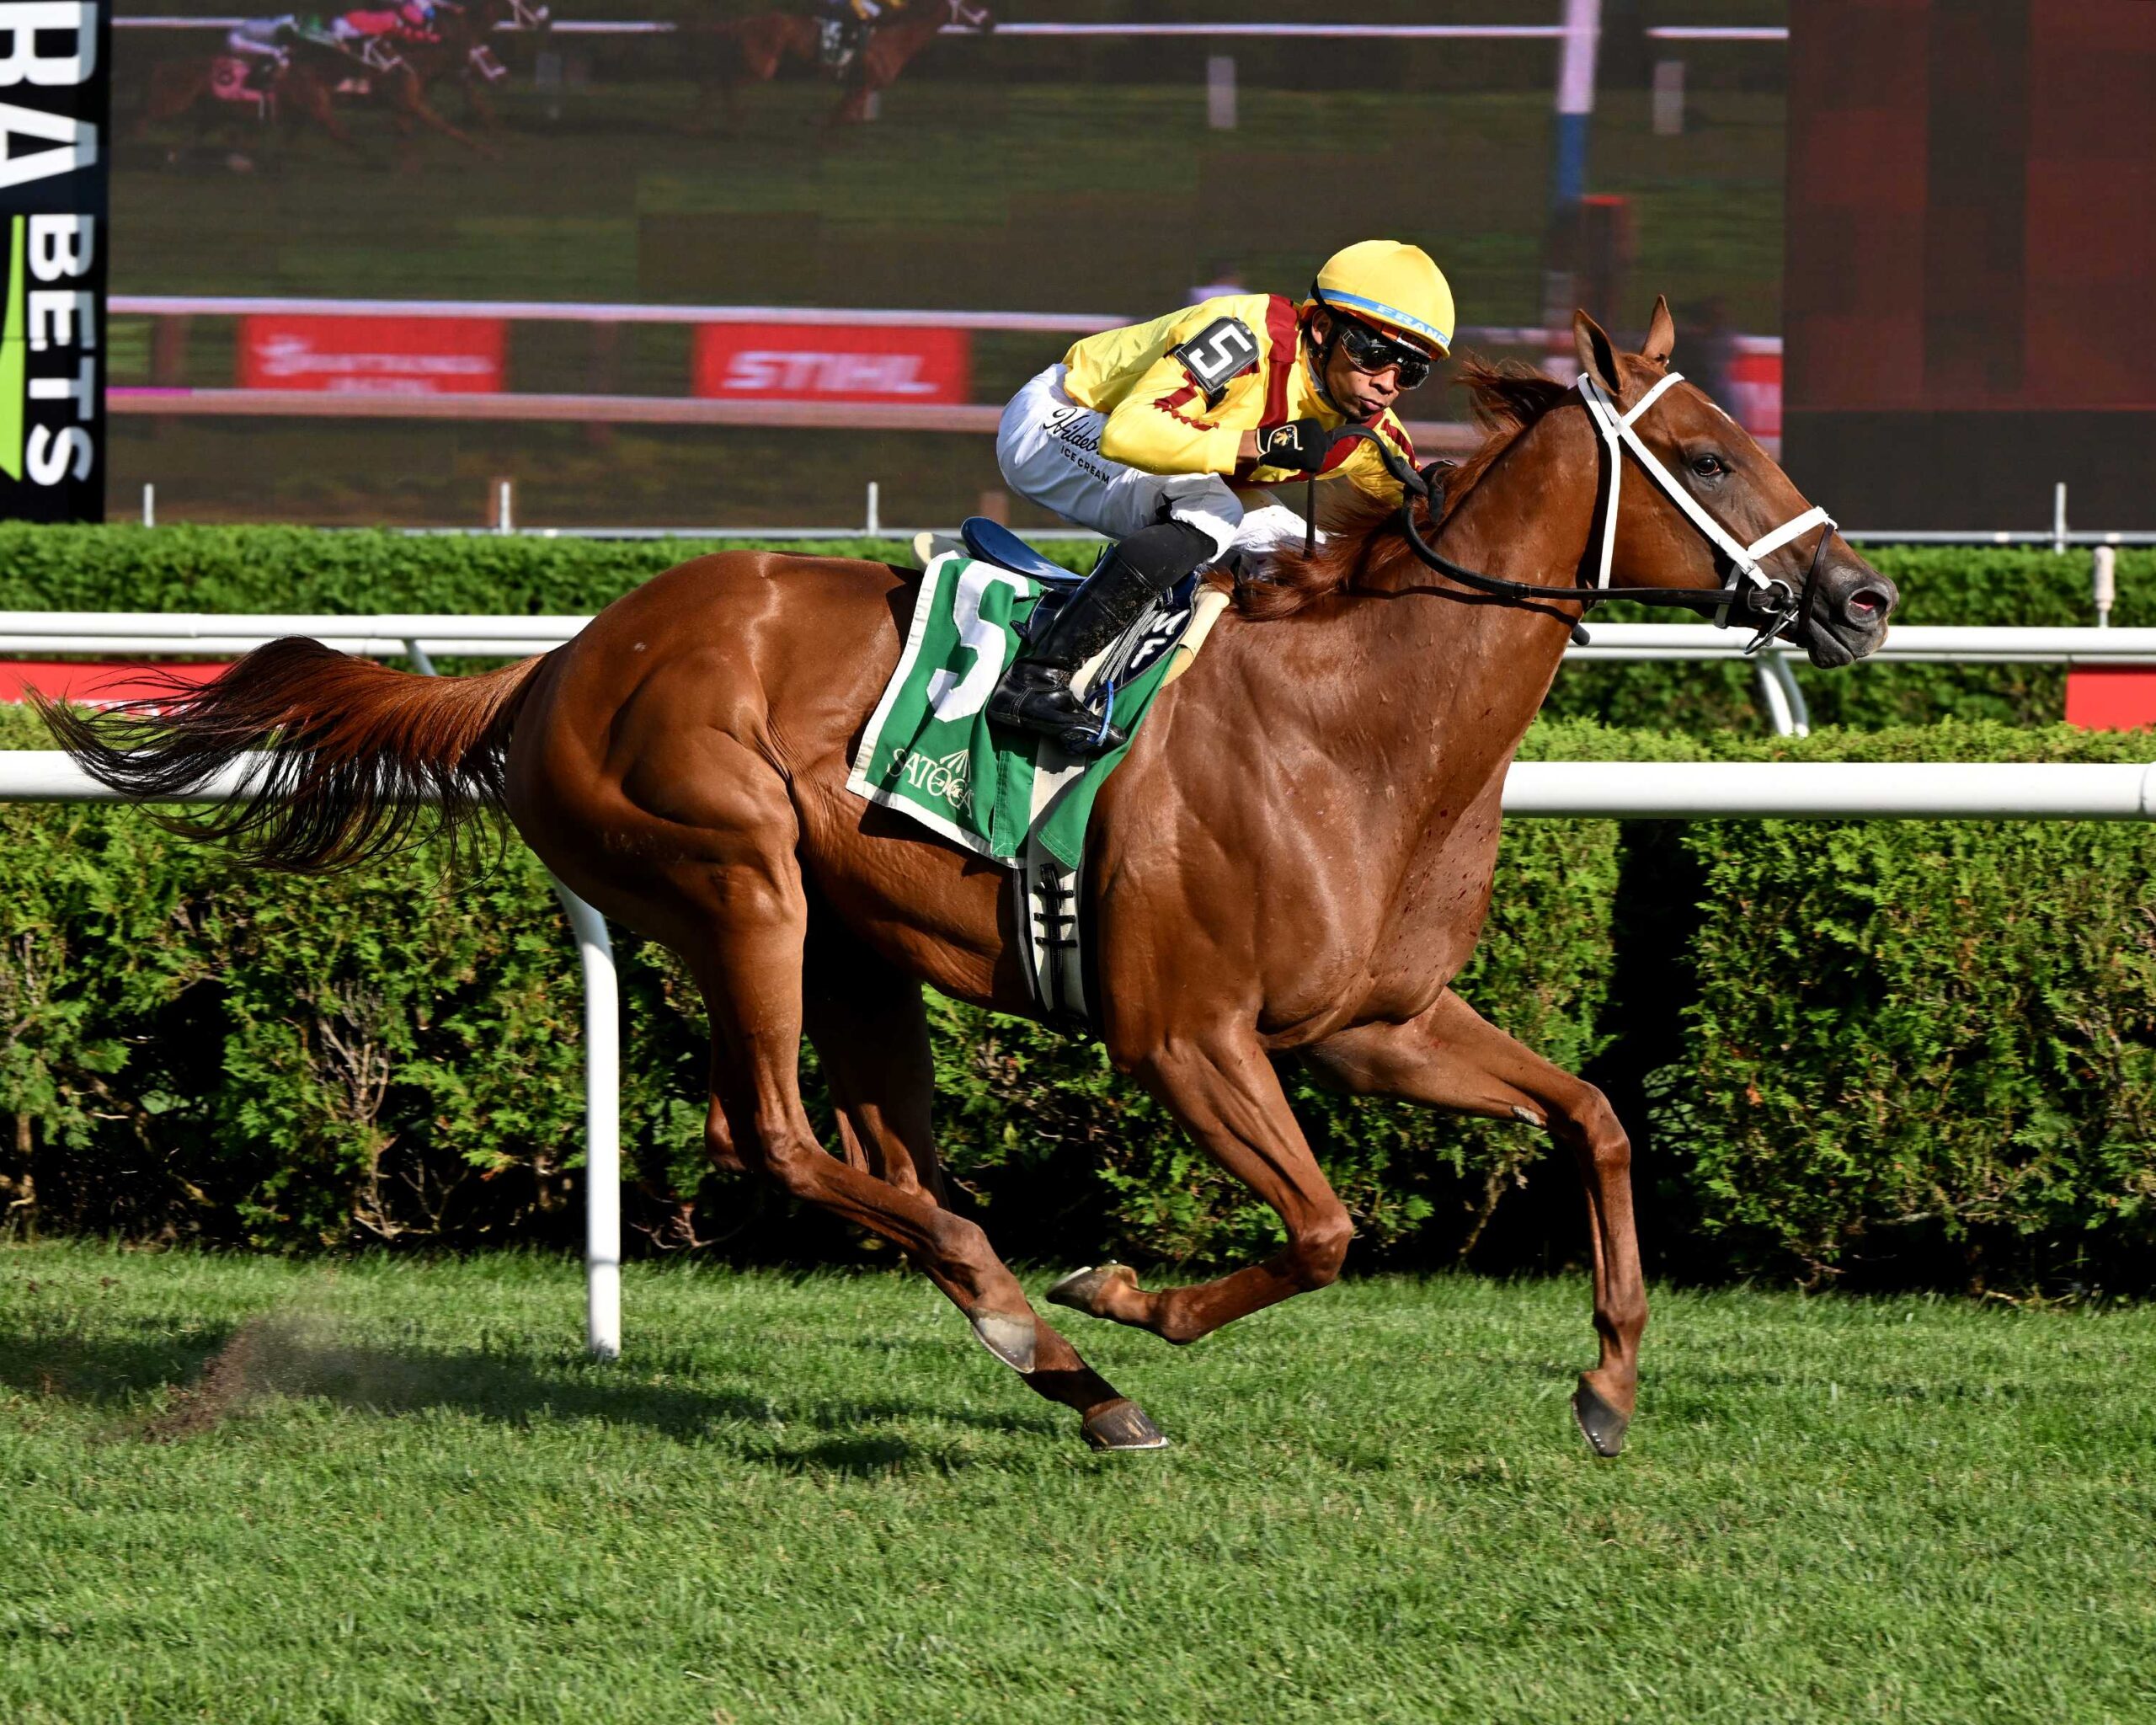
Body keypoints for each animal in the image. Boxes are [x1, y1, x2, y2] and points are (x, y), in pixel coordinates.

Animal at [40, 305, 1897, 1456]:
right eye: (1709, 455)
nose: (1865, 598)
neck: (1357, 719)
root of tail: (556, 663)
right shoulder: (1185, 1035)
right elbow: (1320, 1226)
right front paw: (1127, 1286)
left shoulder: (1374, 1020)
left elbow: (1592, 1116)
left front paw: (1606, 1382)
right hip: (737, 879)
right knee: (776, 1134)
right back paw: (1037, 1317)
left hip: (858, 946)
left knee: (875, 1157)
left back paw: (1064, 1366)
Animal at [686, 0, 994, 129]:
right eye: (971, 3)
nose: (991, 23)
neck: (894, 36)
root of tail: (742, 22)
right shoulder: (864, 83)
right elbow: (838, 117)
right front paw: (815, 124)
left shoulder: (860, 86)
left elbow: (844, 115)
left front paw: (816, 121)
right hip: (761, 66)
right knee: (723, 82)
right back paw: (729, 123)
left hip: (751, 64)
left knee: (715, 81)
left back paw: (703, 124)